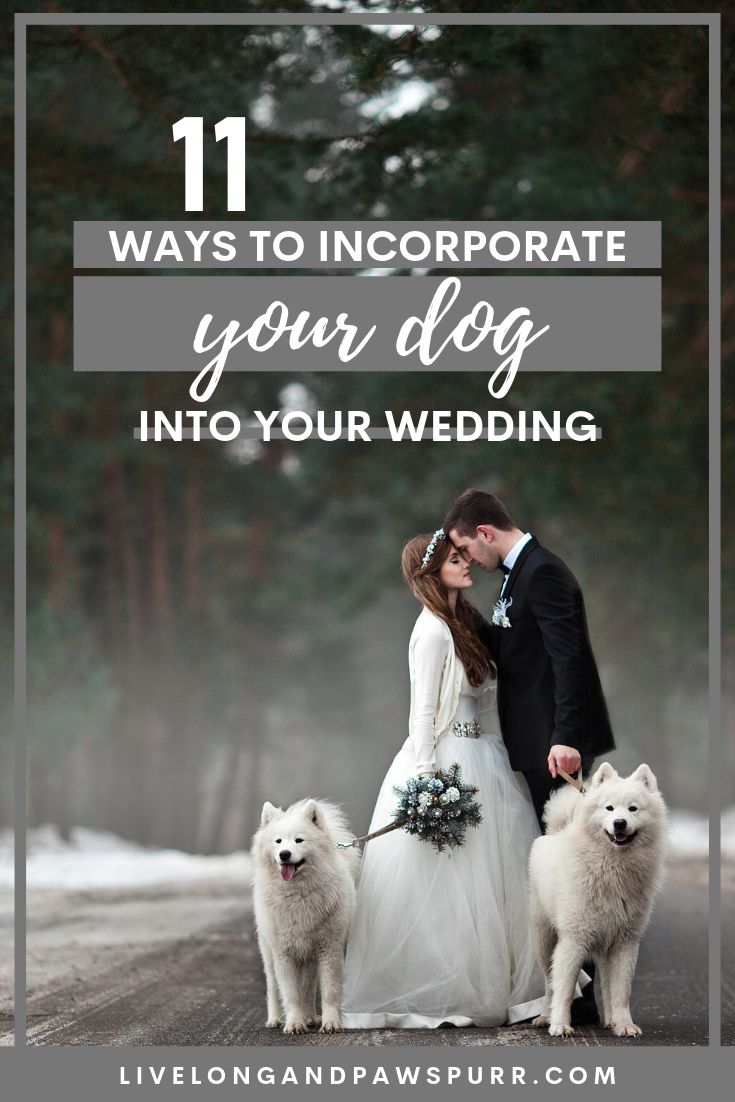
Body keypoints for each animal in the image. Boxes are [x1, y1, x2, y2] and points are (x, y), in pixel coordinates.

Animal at [251, 802, 361, 1031]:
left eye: (299, 840)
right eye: (278, 841)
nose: (284, 854)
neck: (298, 895)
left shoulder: (329, 950)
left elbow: (329, 992)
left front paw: (330, 1023)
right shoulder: (283, 954)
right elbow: (290, 994)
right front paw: (294, 1023)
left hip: (311, 957)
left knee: (309, 987)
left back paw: (310, 1016)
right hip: (268, 953)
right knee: (273, 988)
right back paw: (275, 1019)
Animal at [528, 762, 665, 1035]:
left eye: (633, 808)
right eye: (609, 808)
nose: (619, 823)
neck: (612, 869)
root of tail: (556, 832)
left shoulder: (625, 942)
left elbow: (620, 991)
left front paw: (624, 1025)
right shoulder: (573, 940)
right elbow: (564, 989)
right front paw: (560, 1025)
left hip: (604, 946)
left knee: (606, 986)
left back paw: (611, 1020)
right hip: (545, 939)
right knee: (549, 983)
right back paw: (544, 1017)